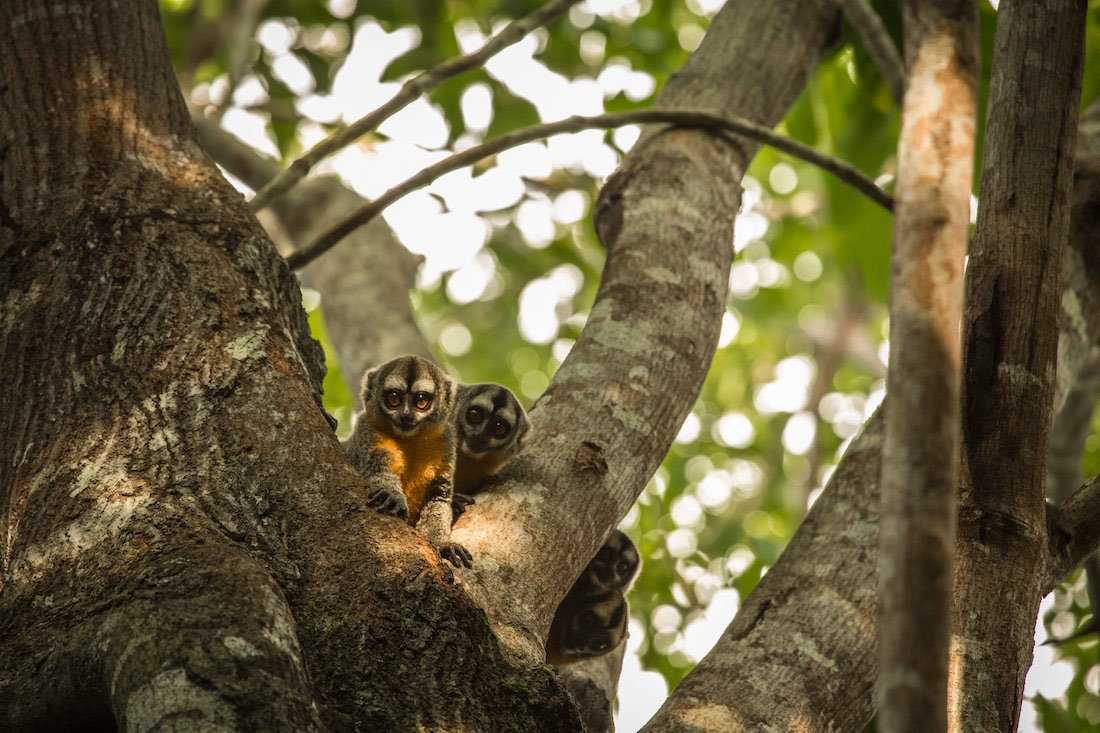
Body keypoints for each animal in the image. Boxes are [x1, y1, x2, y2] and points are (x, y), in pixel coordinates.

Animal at [338, 354, 468, 563]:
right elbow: (377, 468)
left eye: (421, 401)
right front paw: (391, 495)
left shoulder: (446, 441)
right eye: (393, 398)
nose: (406, 415)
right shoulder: (368, 430)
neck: (410, 439)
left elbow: (439, 496)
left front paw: (443, 544)